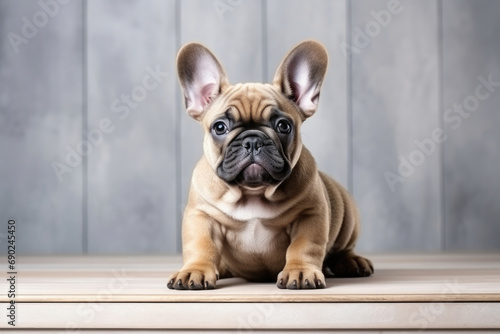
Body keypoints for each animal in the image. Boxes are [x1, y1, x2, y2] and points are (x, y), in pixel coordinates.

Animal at [168, 39, 372, 290]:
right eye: (220, 127)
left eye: (283, 126)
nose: (253, 140)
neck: (253, 193)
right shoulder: (201, 215)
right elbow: (200, 245)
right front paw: (194, 271)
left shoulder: (310, 214)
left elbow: (304, 246)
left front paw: (301, 272)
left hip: (347, 215)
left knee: (344, 248)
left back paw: (351, 262)